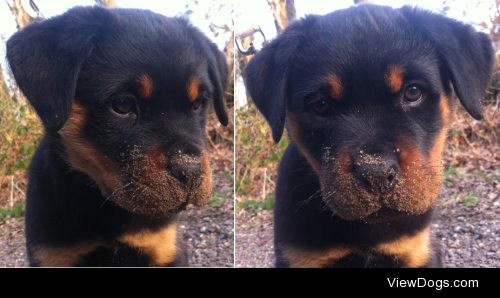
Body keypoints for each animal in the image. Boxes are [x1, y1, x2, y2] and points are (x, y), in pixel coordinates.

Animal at [6, 5, 229, 266]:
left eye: (199, 104)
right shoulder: (54, 255)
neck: (104, 207)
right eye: (122, 104)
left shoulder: (164, 248)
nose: (191, 170)